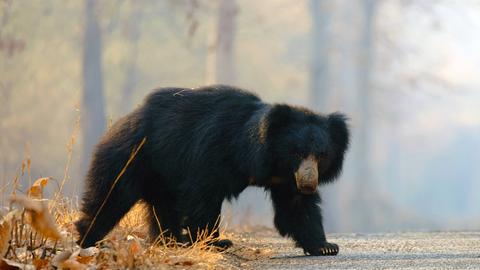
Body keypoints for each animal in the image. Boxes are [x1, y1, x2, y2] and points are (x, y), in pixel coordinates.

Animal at [77, 85, 350, 256]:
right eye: (297, 152)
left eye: (322, 155)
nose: (308, 183)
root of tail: (123, 121)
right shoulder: (212, 152)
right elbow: (203, 196)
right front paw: (216, 242)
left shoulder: (285, 179)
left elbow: (296, 206)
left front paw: (326, 246)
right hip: (133, 157)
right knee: (112, 196)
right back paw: (88, 238)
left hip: (161, 175)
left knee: (163, 207)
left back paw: (171, 241)